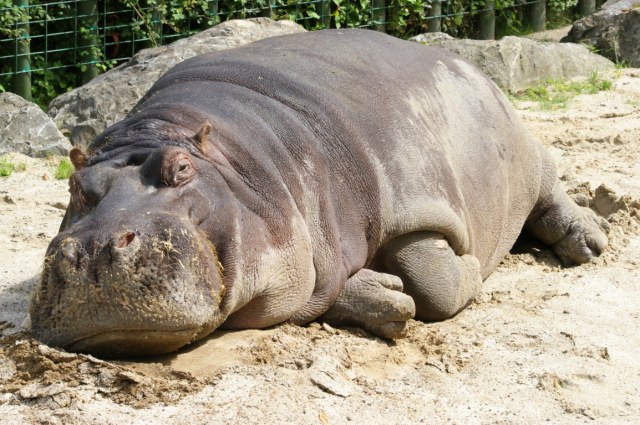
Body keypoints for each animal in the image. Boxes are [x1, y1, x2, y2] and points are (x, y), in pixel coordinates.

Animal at [31, 29, 609, 357]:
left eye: (181, 168)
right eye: (74, 186)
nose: (94, 250)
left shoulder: (416, 195)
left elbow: (438, 284)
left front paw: (467, 268)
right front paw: (384, 294)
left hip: (524, 148)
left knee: (549, 182)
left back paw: (590, 241)